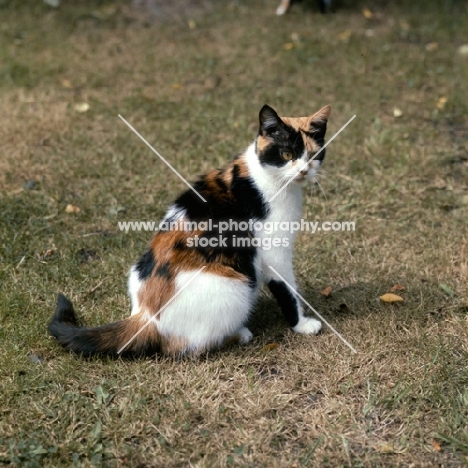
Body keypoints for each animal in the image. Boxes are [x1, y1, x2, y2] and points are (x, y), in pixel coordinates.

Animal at [49, 103, 330, 358]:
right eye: (286, 154)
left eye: (313, 155)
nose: (304, 170)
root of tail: (145, 316)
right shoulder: (274, 251)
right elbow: (288, 290)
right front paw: (302, 324)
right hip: (234, 286)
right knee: (188, 348)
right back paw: (239, 334)